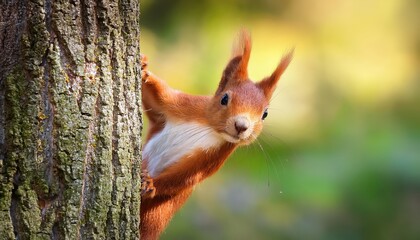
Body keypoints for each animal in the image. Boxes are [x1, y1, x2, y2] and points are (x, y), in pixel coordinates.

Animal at [140, 31, 292, 239]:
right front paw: (143, 68)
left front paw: (151, 184)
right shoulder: (181, 105)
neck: (210, 127)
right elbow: (157, 99)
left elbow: (185, 177)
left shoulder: (213, 157)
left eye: (265, 114)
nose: (241, 126)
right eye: (224, 98)